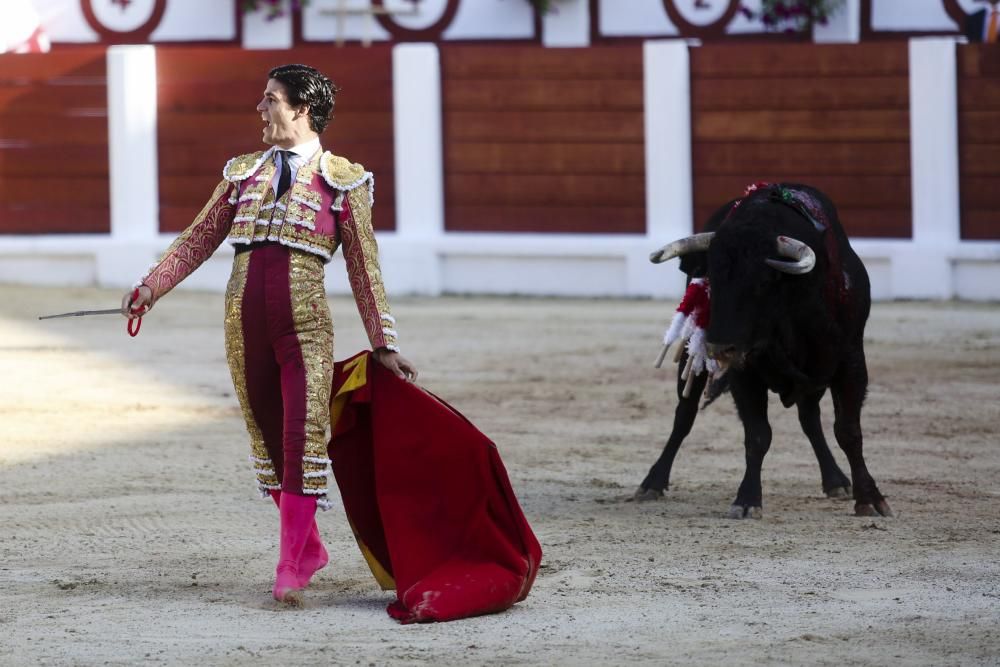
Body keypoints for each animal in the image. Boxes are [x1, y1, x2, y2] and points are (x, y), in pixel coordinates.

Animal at [644, 185, 896, 520]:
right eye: (712, 279)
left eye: (763, 282)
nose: (718, 346)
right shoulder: (744, 371)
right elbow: (758, 435)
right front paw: (747, 499)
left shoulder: (851, 360)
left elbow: (849, 431)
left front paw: (869, 498)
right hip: (693, 356)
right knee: (684, 415)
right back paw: (653, 482)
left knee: (810, 419)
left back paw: (835, 480)